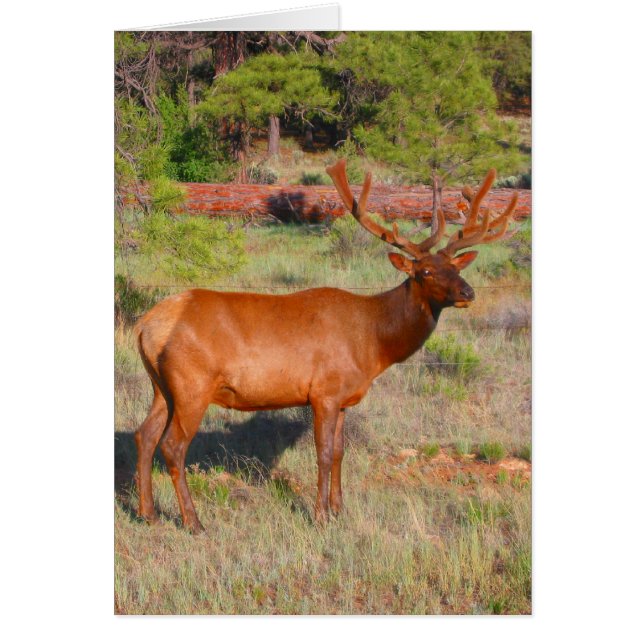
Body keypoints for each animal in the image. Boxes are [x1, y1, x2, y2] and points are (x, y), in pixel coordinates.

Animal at [132, 159, 518, 532]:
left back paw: (148, 513)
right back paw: (193, 522)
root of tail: (146, 325)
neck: (374, 344)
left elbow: (339, 453)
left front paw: (339, 510)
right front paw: (319, 516)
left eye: (455, 267)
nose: (468, 292)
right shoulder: (324, 392)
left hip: (162, 387)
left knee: (144, 435)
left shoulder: (345, 398)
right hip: (192, 384)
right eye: (424, 271)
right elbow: (322, 452)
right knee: (173, 446)